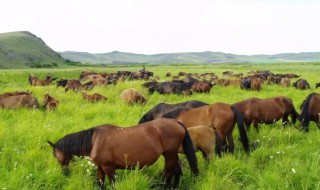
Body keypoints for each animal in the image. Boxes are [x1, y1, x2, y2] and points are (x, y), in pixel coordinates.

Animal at [47, 119, 198, 189]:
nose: (65, 173)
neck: (95, 140)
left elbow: (113, 183)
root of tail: (176, 122)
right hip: (171, 154)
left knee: (168, 172)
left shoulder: (109, 167)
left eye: (57, 156)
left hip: (169, 154)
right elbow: (100, 183)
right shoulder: (100, 168)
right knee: (176, 170)